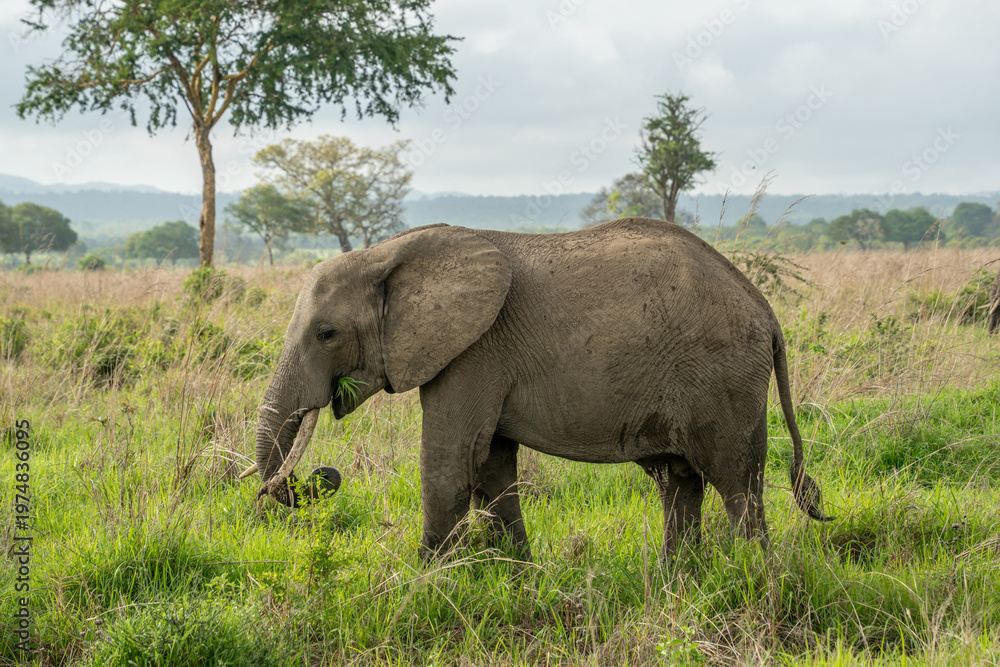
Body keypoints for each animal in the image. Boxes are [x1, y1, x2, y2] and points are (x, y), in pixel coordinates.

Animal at [246, 217, 831, 560]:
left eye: (327, 334)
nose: (318, 477)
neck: (387, 254)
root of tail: (767, 313)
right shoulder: (477, 355)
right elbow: (491, 467)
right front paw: (521, 580)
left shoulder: (475, 349)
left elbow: (450, 464)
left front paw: (422, 585)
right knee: (679, 482)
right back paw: (679, 586)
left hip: (724, 378)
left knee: (736, 483)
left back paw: (753, 582)